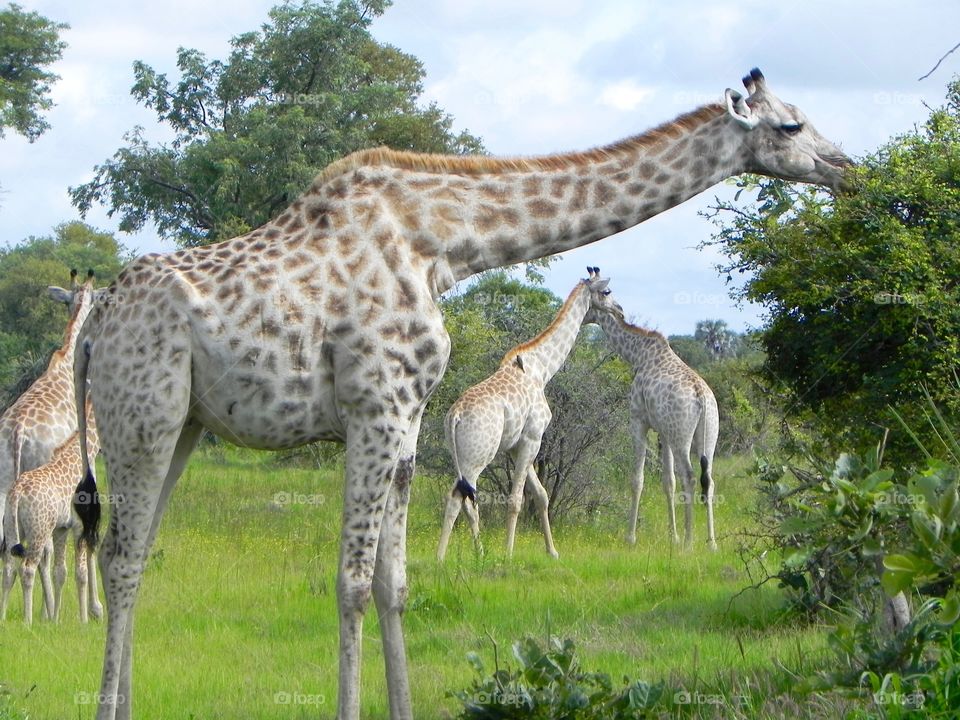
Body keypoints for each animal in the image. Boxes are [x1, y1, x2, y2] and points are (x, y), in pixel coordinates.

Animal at [0, 396, 101, 620]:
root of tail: (17, 493)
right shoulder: (79, 525)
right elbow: (80, 573)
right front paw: (84, 619)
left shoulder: (62, 527)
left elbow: (60, 572)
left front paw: (55, 619)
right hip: (38, 532)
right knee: (27, 569)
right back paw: (27, 621)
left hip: (14, 529)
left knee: (9, 569)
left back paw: (3, 617)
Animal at [436, 268, 620, 560]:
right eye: (607, 292)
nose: (620, 311)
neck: (543, 369)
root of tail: (454, 417)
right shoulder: (533, 437)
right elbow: (515, 500)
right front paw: (508, 554)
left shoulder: (516, 445)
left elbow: (541, 495)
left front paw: (552, 552)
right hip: (477, 456)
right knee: (457, 498)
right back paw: (441, 558)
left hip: (462, 459)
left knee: (467, 500)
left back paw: (480, 553)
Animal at [584, 298, 720, 552]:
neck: (637, 354)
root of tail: (702, 398)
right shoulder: (663, 432)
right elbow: (668, 482)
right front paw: (672, 536)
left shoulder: (638, 420)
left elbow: (637, 479)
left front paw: (630, 537)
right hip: (708, 435)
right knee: (709, 480)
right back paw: (711, 543)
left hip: (681, 436)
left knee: (690, 476)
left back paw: (689, 542)